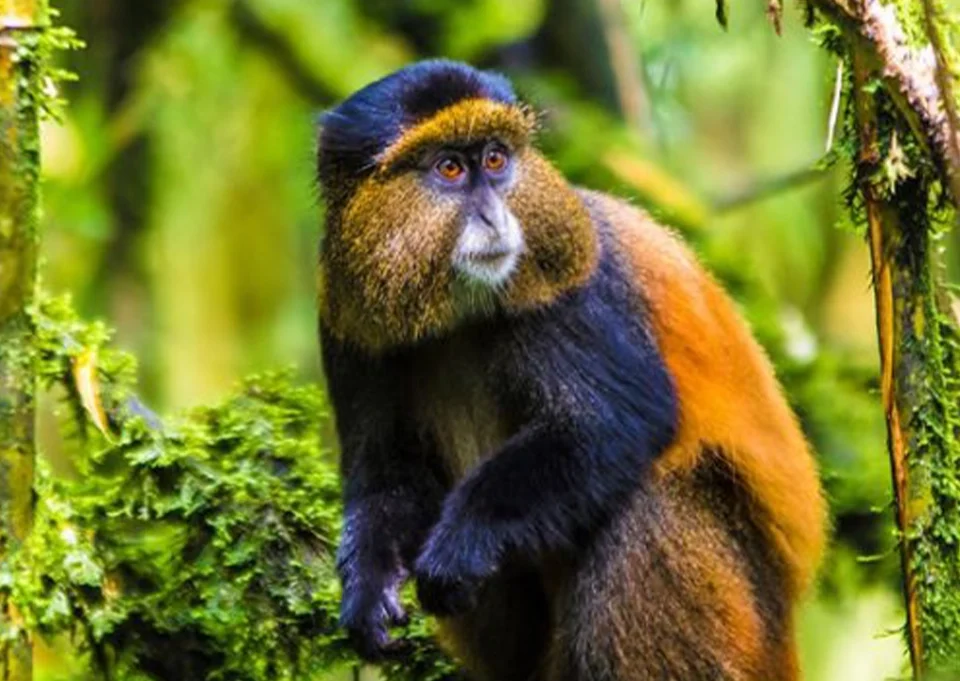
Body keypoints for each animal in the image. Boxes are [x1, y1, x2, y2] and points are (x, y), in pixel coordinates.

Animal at [317, 59, 826, 681]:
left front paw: (461, 541)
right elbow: (385, 475)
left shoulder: (568, 289)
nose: (495, 217)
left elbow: (613, 423)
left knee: (650, 499)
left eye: (495, 160)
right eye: (449, 168)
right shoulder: (347, 323)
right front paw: (368, 590)